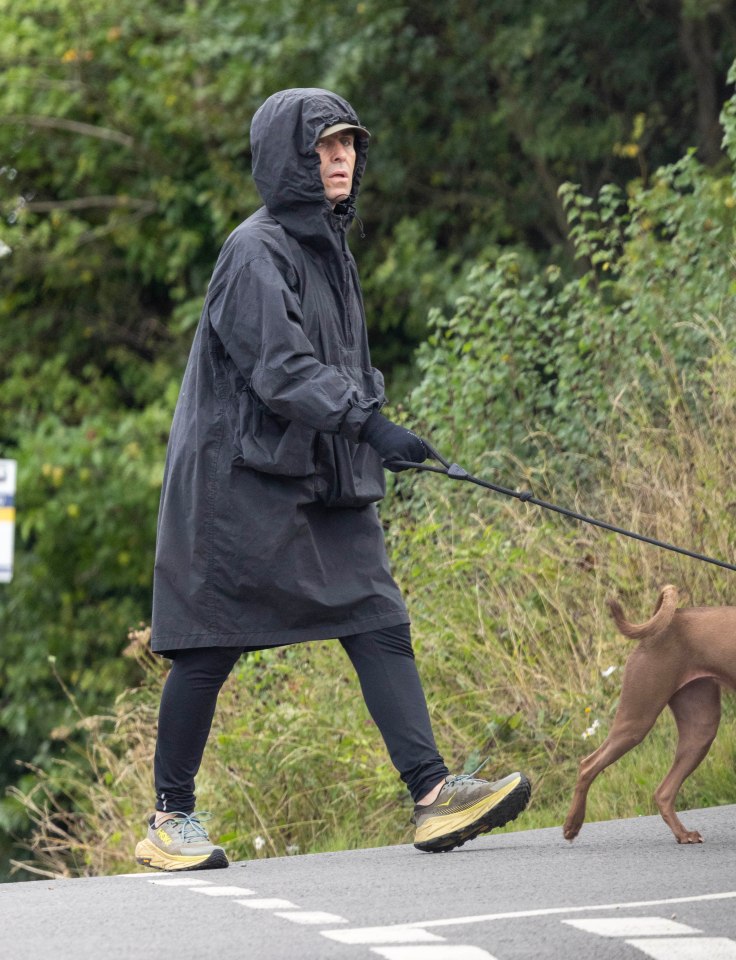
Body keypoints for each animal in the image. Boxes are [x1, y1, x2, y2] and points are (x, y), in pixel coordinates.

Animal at [564, 584, 732, 848]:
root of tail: (674, 619)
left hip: (700, 727)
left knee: (663, 793)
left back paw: (682, 834)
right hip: (637, 718)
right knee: (587, 765)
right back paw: (572, 825)